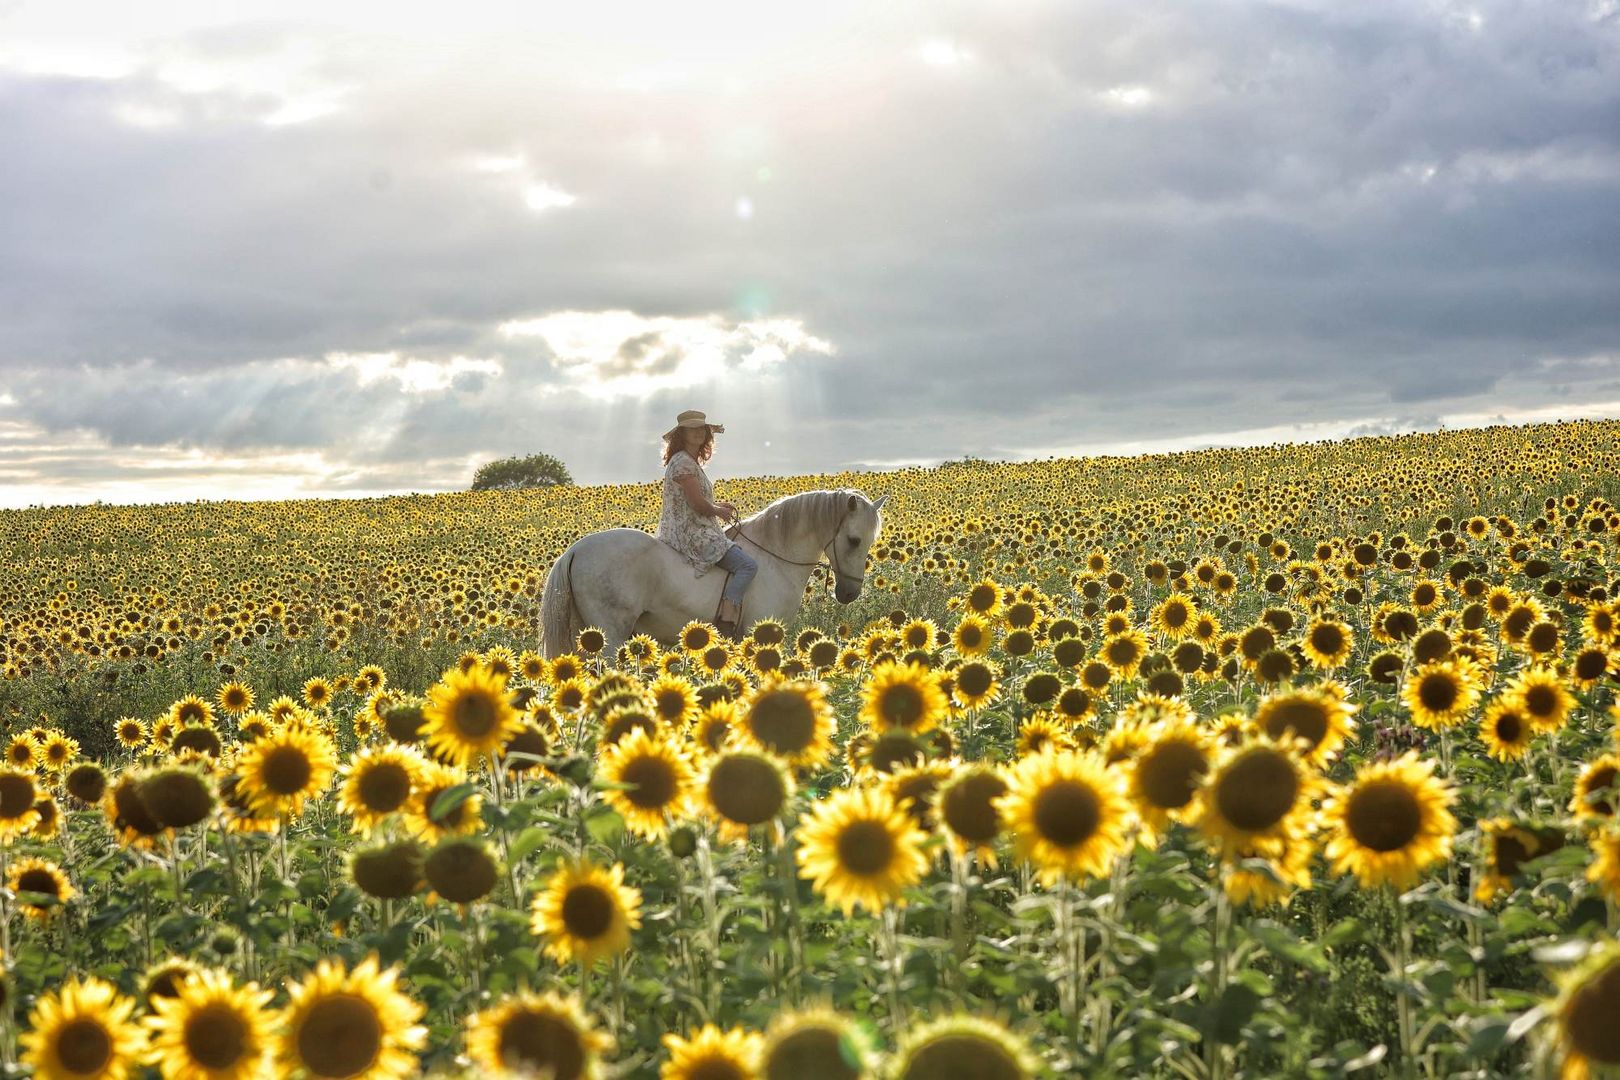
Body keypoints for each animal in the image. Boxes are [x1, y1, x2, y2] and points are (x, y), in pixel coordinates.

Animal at [537, 488, 887, 660]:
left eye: (870, 541)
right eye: (853, 540)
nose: (849, 593)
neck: (776, 557)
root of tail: (575, 550)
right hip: (610, 636)